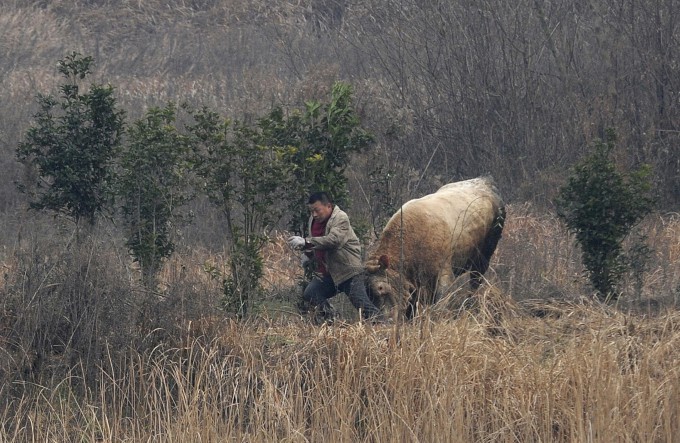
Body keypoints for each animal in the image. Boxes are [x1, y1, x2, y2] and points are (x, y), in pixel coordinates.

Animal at [366, 177, 504, 320]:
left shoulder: (445, 273)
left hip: (484, 256)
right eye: (369, 294)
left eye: (381, 288)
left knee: (475, 282)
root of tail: (486, 181)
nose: (383, 319)